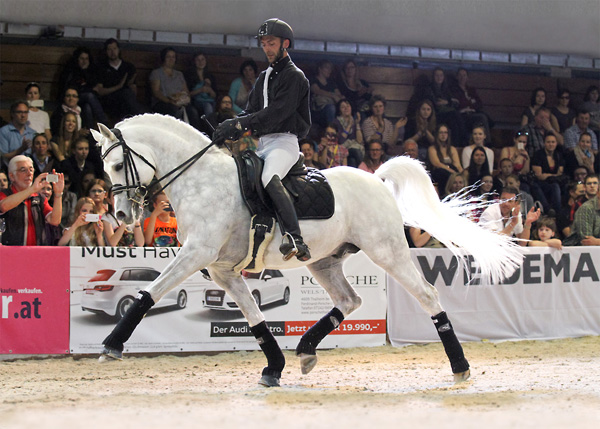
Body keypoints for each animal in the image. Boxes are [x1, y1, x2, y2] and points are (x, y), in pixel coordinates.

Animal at [90, 113, 520, 384]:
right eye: (104, 168)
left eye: (117, 166)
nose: (123, 215)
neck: (201, 179)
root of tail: (376, 179)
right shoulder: (223, 270)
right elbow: (254, 317)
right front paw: (273, 367)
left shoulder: (197, 254)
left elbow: (150, 291)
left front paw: (112, 344)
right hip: (325, 262)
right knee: (349, 301)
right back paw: (305, 349)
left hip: (387, 252)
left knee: (427, 295)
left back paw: (460, 366)